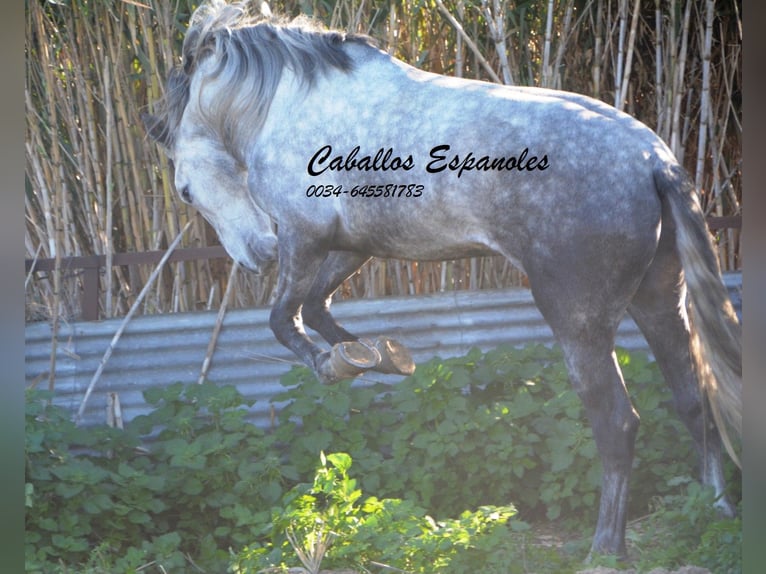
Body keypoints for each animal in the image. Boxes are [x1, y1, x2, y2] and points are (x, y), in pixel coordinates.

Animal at [144, 1, 744, 564]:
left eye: (185, 191)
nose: (257, 256)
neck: (290, 104)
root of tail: (652, 159)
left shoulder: (303, 235)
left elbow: (282, 318)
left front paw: (332, 365)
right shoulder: (352, 244)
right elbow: (316, 309)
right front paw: (375, 358)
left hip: (578, 322)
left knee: (618, 423)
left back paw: (604, 549)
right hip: (660, 303)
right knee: (695, 402)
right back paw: (714, 511)